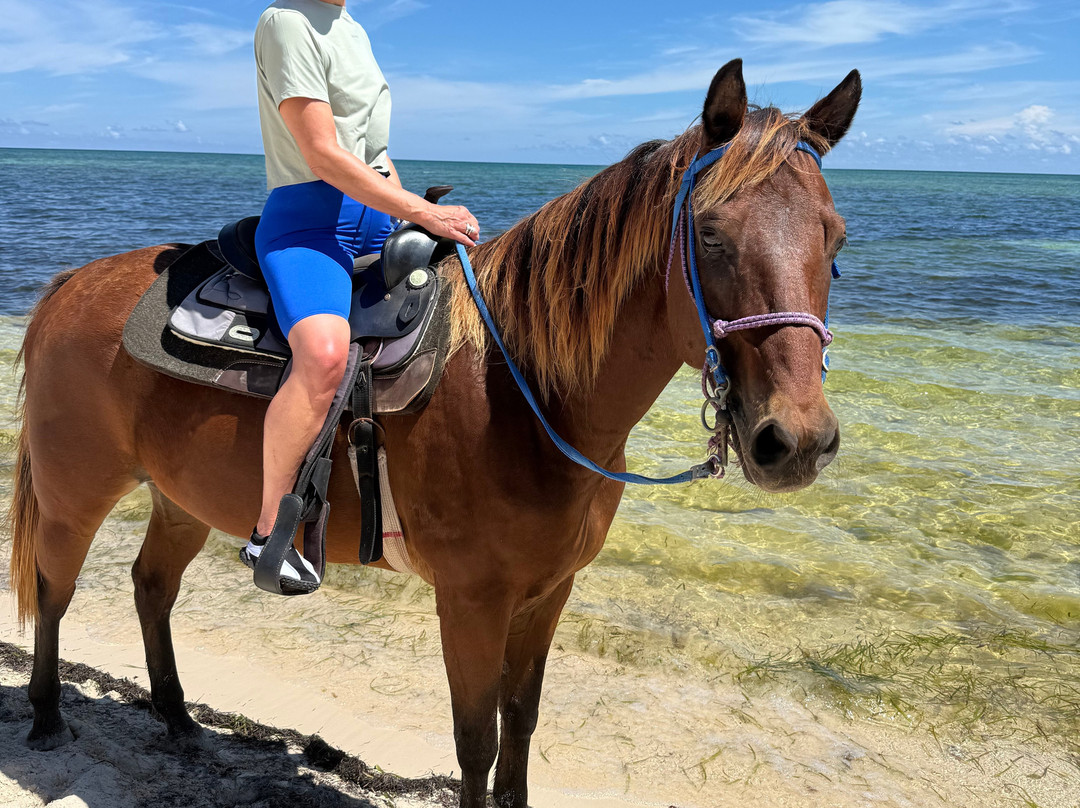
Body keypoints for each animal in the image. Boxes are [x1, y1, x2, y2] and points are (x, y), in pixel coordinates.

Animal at [7, 59, 860, 808]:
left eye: (837, 239)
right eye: (710, 236)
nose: (797, 441)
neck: (522, 390)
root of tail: (70, 284)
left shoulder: (549, 593)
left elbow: (522, 721)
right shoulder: (473, 600)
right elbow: (475, 740)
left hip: (182, 498)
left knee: (151, 586)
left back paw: (179, 718)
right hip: (76, 492)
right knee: (54, 586)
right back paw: (46, 715)